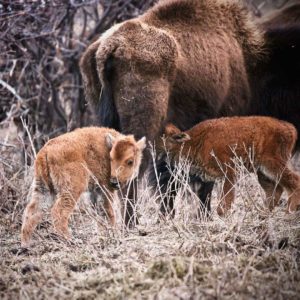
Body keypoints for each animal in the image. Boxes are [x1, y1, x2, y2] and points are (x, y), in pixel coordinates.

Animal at [163, 116, 300, 217]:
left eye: (166, 147)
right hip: (262, 172)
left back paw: (290, 210)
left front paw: (222, 214)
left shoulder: (229, 171)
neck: (196, 141)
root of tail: (289, 127)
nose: (164, 162)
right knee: (275, 188)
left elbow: (226, 196)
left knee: (293, 180)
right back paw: (265, 211)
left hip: (272, 164)